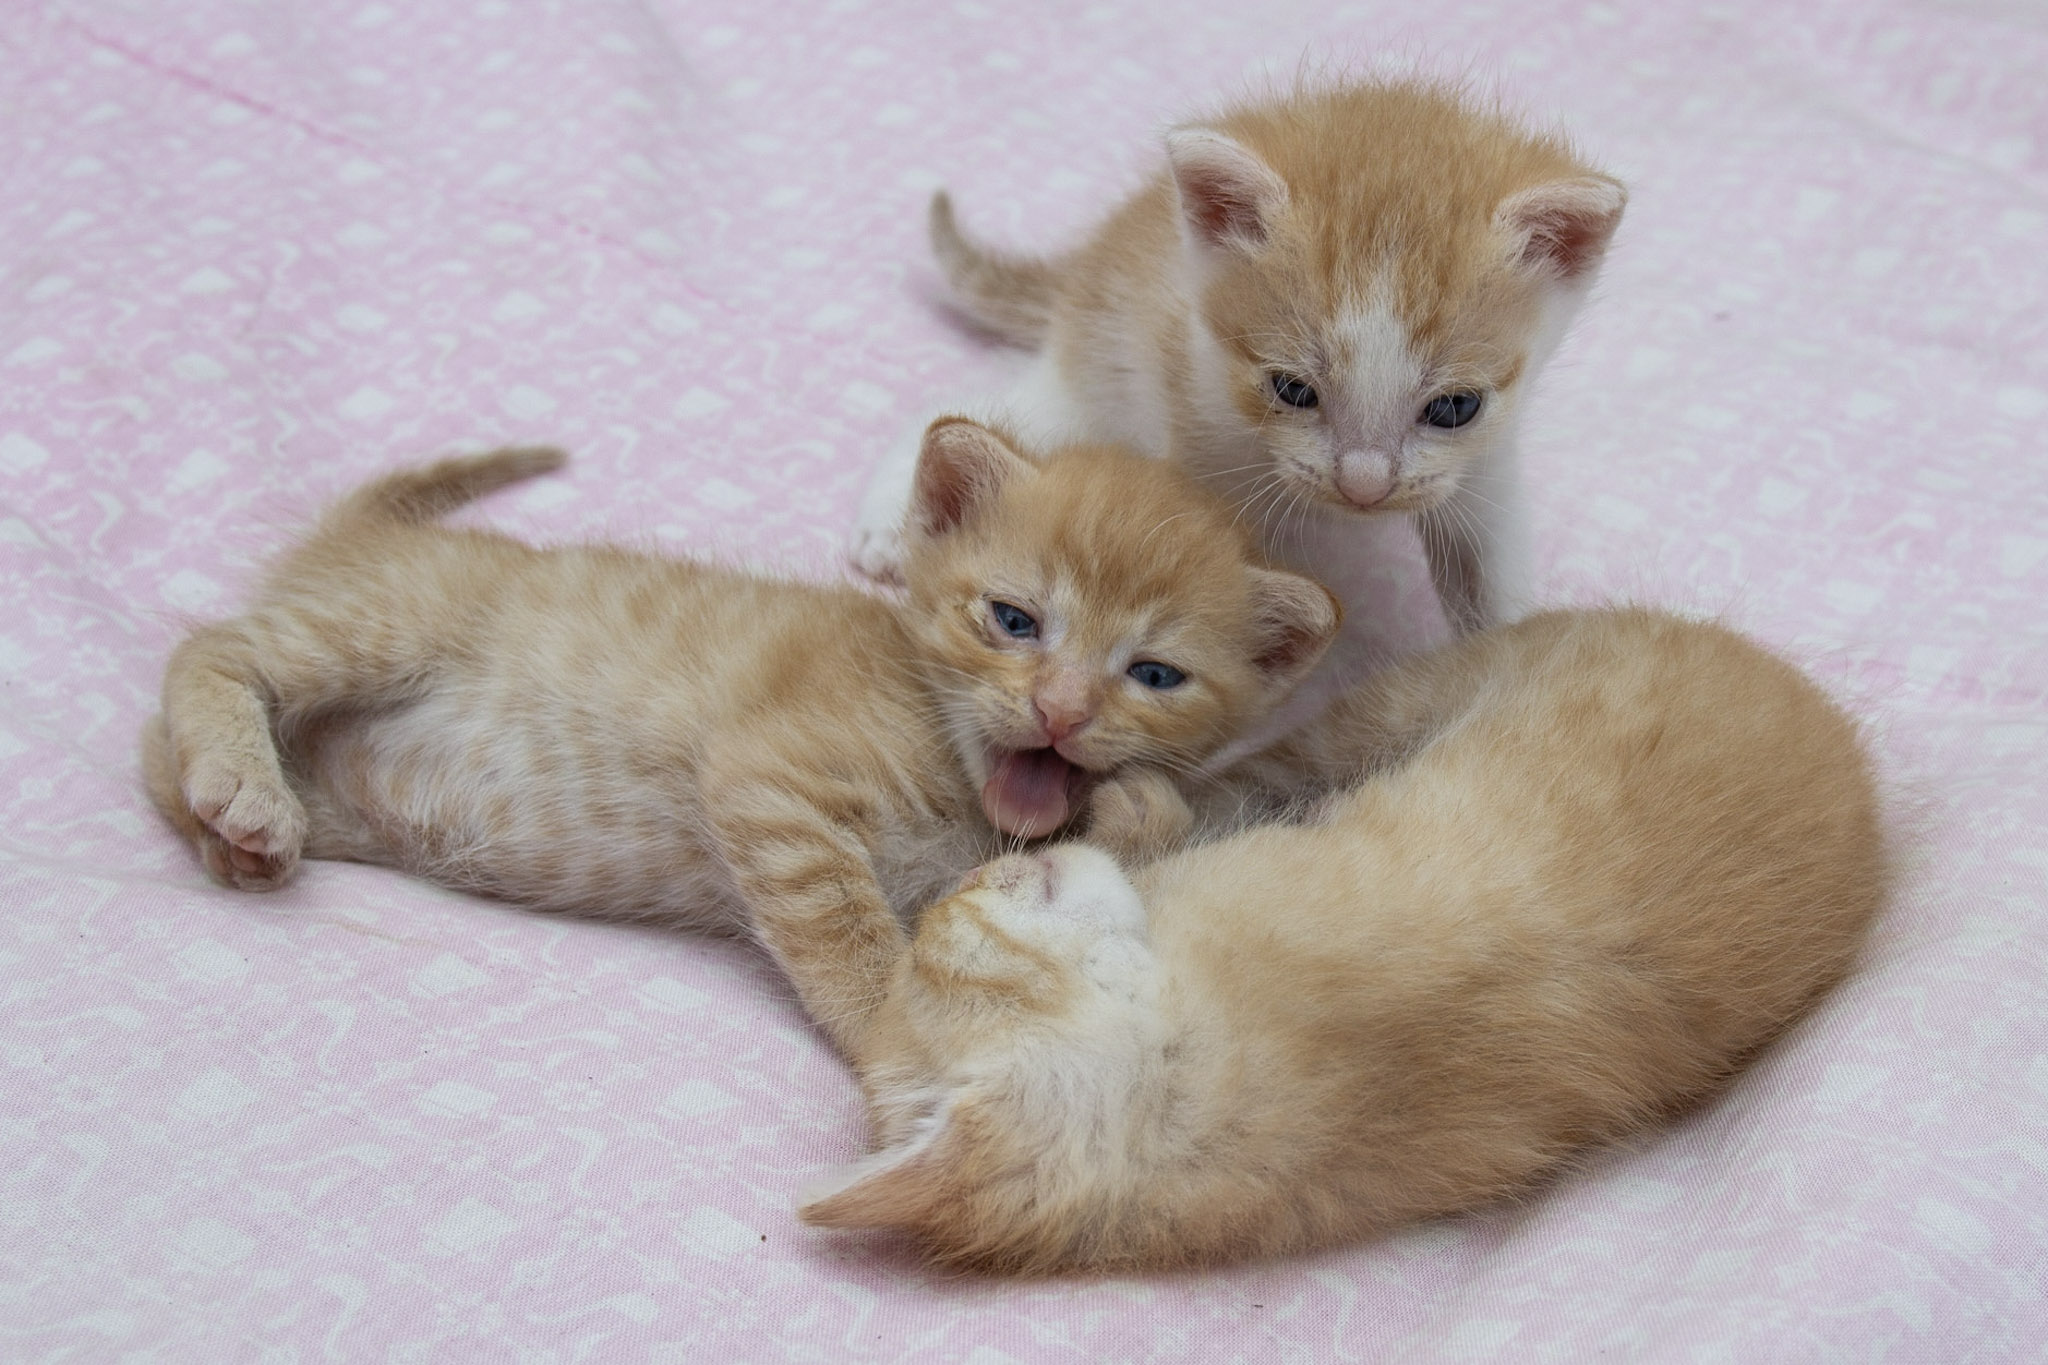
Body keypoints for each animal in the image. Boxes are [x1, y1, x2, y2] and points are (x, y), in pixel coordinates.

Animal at [140, 419, 1338, 1060]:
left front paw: (1138, 803)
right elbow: (845, 927)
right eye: (1012, 619)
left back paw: (232, 825)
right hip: (385, 621)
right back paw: (241, 784)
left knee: (162, 752)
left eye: (1153, 675)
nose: (1059, 710)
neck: (954, 767)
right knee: (210, 650)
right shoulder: (770, 783)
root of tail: (365, 544)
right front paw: (887, 1024)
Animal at [798, 607, 1889, 1271]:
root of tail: (1844, 744)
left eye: (943, 930)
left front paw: (1101, 810)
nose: (966, 882)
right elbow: (1170, 834)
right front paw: (1128, 813)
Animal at [852, 78, 1626, 746]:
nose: (1365, 487)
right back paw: (893, 521)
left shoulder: (1484, 461)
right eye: (1291, 390)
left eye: (1455, 407)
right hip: (1095, 371)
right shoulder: (1199, 429)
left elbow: (1488, 567)